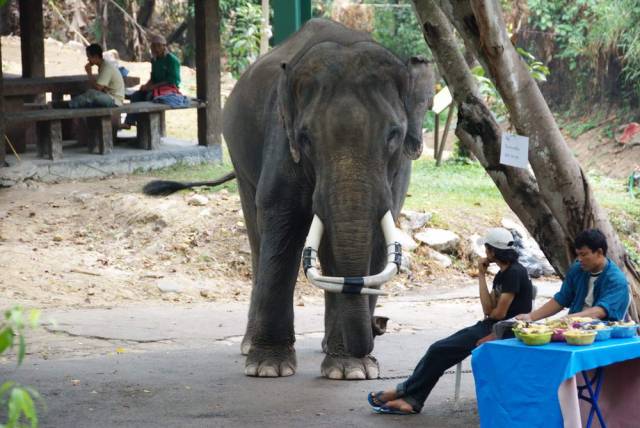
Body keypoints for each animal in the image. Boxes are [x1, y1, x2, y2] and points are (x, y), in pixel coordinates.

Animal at [145, 18, 436, 380]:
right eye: (305, 138)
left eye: (394, 134)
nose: (378, 327)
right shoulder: (281, 143)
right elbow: (282, 224)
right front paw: (268, 367)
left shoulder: (397, 173)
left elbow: (377, 232)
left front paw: (353, 371)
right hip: (240, 159)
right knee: (258, 237)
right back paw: (249, 346)